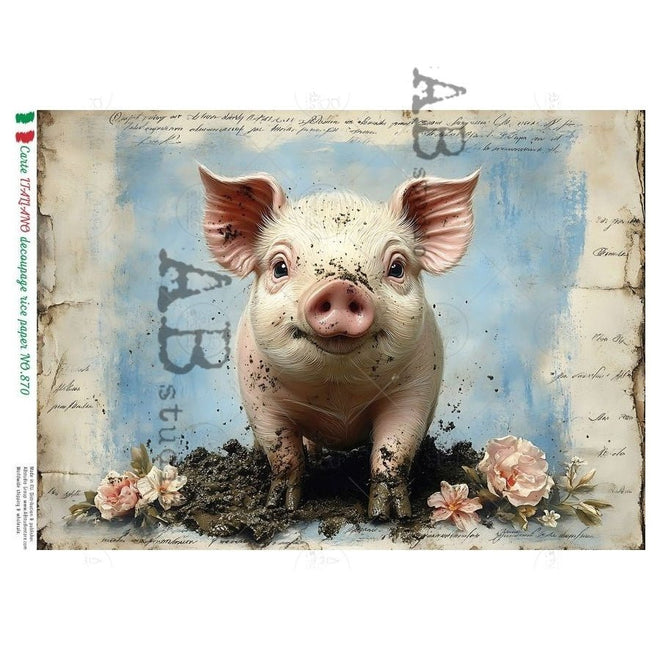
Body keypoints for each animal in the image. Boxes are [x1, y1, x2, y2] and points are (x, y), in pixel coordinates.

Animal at [200, 165, 479, 520]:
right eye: (279, 267)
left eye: (397, 267)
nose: (342, 287)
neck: (338, 395)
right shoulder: (259, 399)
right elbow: (283, 453)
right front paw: (280, 508)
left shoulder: (415, 391)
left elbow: (393, 449)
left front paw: (390, 515)